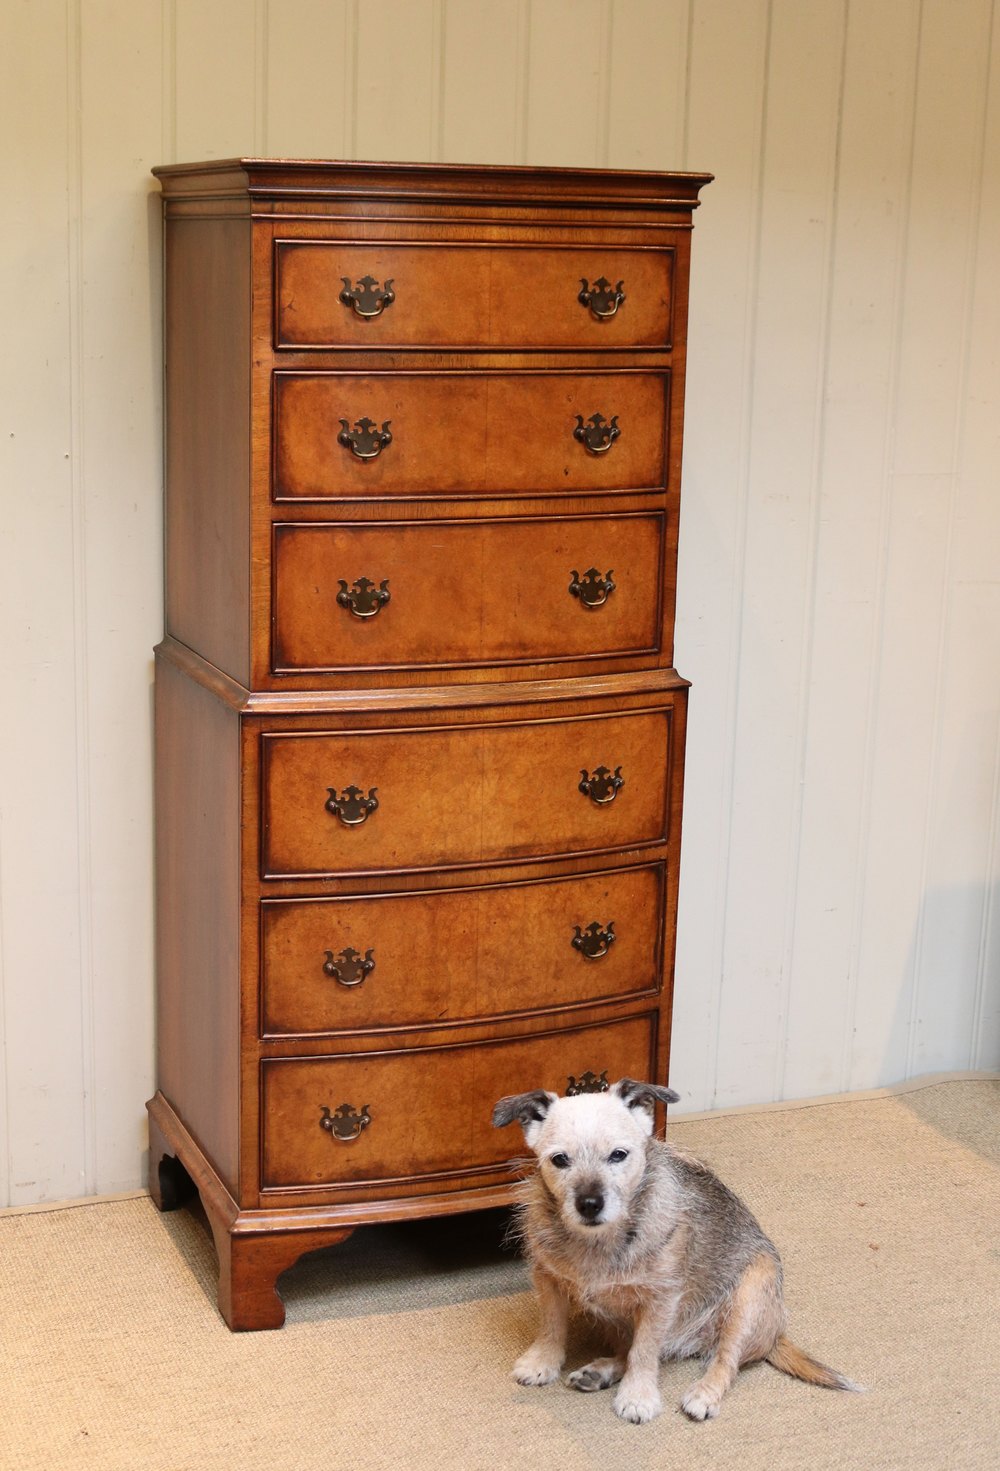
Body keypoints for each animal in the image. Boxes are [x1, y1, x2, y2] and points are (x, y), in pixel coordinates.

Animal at [492, 1077, 860, 1422]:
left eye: (618, 1155)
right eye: (559, 1160)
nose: (590, 1204)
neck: (600, 1241)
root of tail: (774, 1336)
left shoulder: (660, 1301)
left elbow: (644, 1352)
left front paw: (637, 1397)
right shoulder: (547, 1280)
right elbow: (552, 1325)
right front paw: (542, 1361)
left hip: (749, 1299)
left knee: (725, 1360)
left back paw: (704, 1394)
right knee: (631, 1351)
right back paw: (600, 1372)